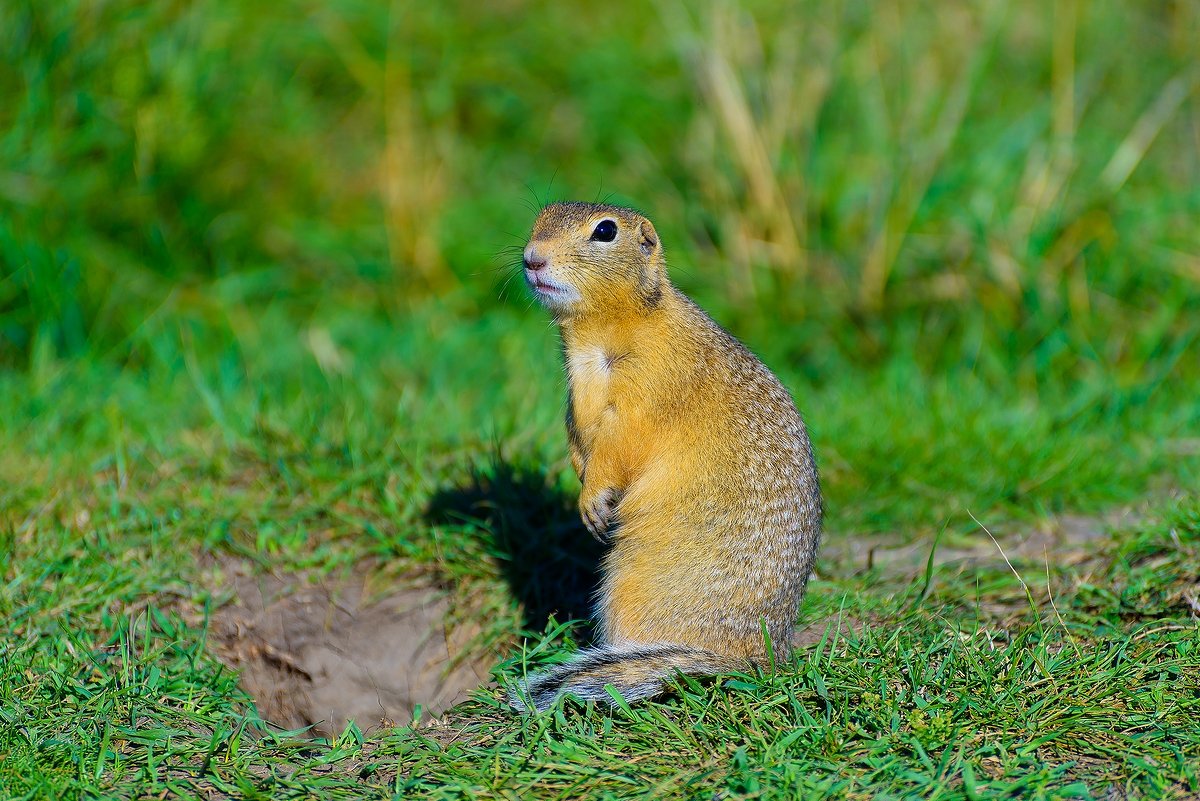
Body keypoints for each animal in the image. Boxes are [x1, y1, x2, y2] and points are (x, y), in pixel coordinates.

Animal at [511, 203, 820, 709]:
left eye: (605, 231)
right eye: (541, 216)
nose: (532, 258)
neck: (594, 336)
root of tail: (759, 655)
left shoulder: (648, 387)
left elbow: (619, 445)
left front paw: (592, 501)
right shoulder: (576, 397)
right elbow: (578, 438)